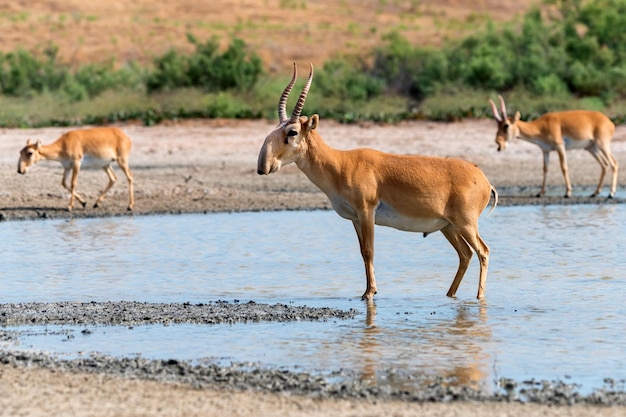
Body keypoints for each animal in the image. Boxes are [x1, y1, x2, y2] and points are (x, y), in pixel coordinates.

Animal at [256, 63, 494, 300]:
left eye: (292, 132)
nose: (263, 166)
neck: (341, 164)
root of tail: (484, 180)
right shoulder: (355, 219)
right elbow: (363, 252)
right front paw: (366, 290)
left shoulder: (366, 212)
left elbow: (370, 251)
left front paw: (370, 293)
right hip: (449, 227)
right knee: (465, 254)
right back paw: (450, 294)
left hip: (465, 225)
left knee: (483, 251)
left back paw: (479, 297)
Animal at [488, 95, 616, 198]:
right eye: (497, 125)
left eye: (506, 125)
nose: (498, 143)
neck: (542, 126)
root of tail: (610, 122)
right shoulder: (545, 150)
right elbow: (545, 169)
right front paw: (540, 193)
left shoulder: (560, 147)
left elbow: (563, 167)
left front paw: (568, 192)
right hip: (591, 148)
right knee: (604, 165)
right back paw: (595, 192)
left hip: (602, 145)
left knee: (614, 164)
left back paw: (611, 193)